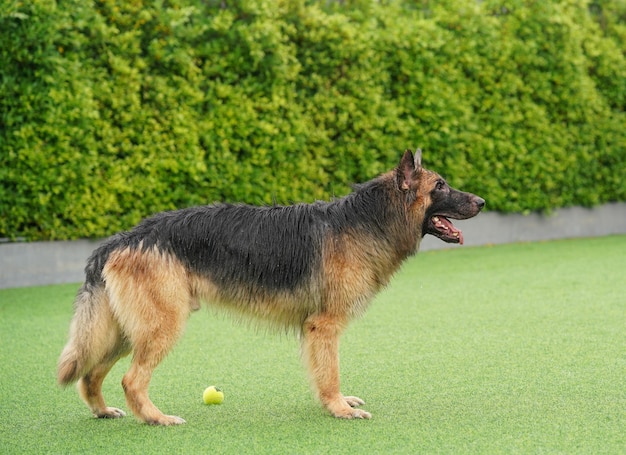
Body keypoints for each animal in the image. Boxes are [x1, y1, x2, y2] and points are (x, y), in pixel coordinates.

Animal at [57, 150, 482, 424]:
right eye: (441, 185)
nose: (481, 200)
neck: (367, 221)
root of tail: (124, 237)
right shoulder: (324, 327)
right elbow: (330, 373)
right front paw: (340, 410)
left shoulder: (316, 331)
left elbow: (324, 373)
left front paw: (336, 404)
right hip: (161, 326)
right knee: (131, 380)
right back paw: (156, 419)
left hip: (126, 333)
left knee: (90, 374)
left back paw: (103, 411)